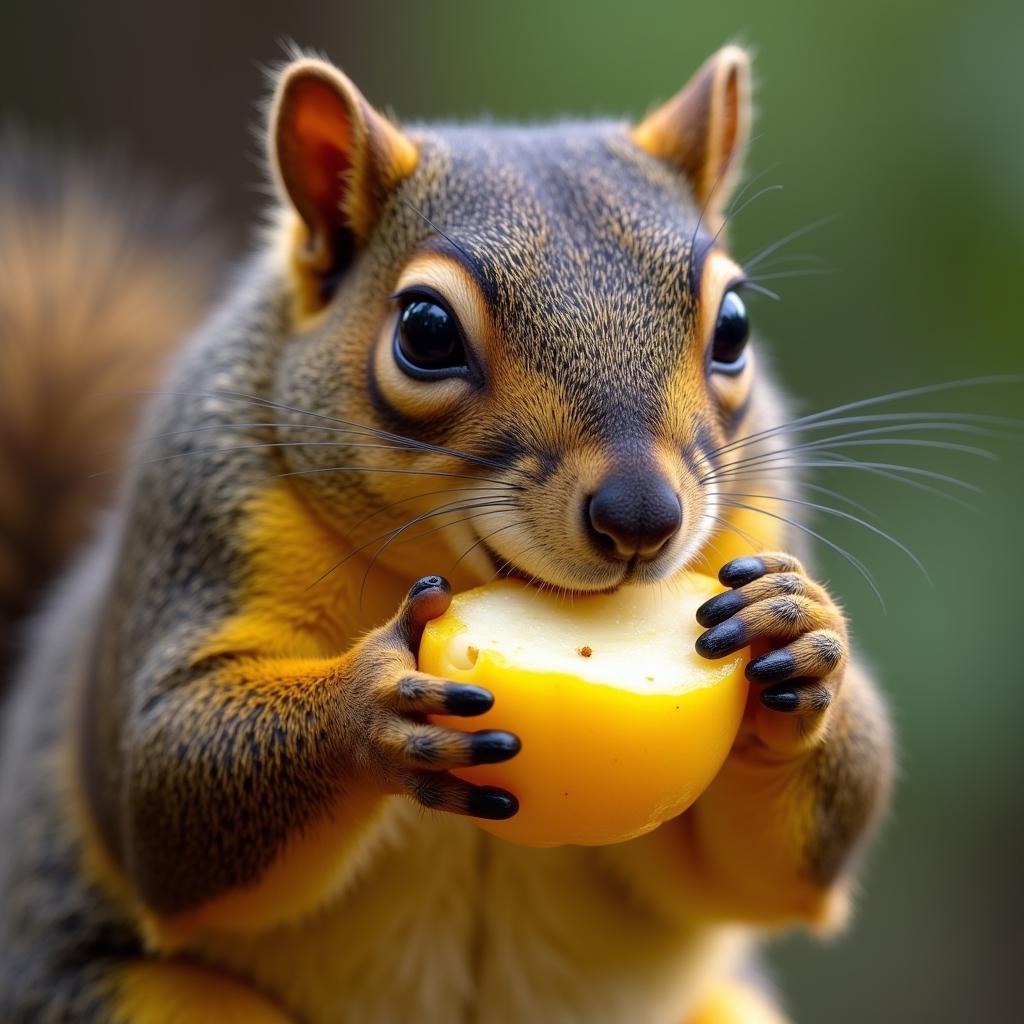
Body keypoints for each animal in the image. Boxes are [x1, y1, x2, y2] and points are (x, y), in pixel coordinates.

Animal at [0, 41, 888, 1024]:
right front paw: (368, 705)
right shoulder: (204, 518)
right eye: (425, 331)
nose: (643, 518)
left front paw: (802, 637)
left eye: (733, 325)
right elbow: (163, 782)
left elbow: (752, 876)